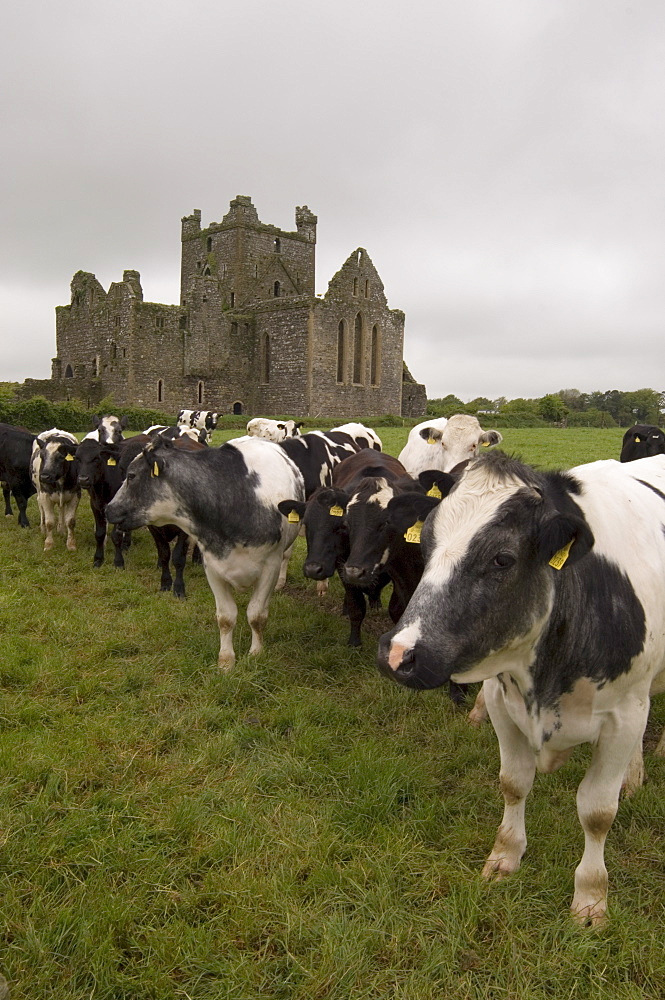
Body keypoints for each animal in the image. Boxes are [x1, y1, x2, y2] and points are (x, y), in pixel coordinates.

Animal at [107, 436, 304, 664]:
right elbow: (226, 617)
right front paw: (226, 660)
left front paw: (255, 653)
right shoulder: (213, 567)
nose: (108, 508)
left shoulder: (270, 567)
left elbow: (257, 615)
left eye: (131, 475)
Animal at [376, 450, 664, 924]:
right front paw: (505, 856)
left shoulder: (623, 716)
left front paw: (590, 897)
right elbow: (514, 782)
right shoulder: (500, 699)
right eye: (427, 543)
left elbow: (597, 812)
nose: (397, 655)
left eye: (502, 559)